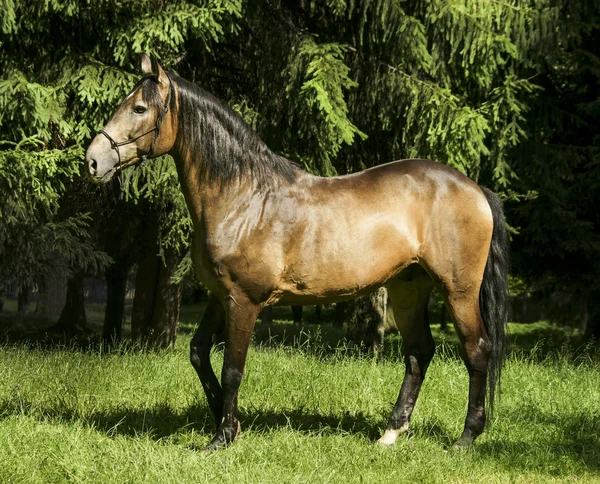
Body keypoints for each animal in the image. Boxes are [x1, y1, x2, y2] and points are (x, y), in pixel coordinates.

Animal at [86, 54, 508, 452]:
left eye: (139, 108)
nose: (92, 160)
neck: (244, 198)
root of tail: (474, 188)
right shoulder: (220, 296)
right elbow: (198, 352)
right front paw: (226, 420)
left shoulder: (245, 300)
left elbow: (232, 369)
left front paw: (222, 437)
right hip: (408, 288)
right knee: (419, 352)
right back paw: (391, 432)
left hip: (458, 291)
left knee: (477, 351)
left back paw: (465, 438)